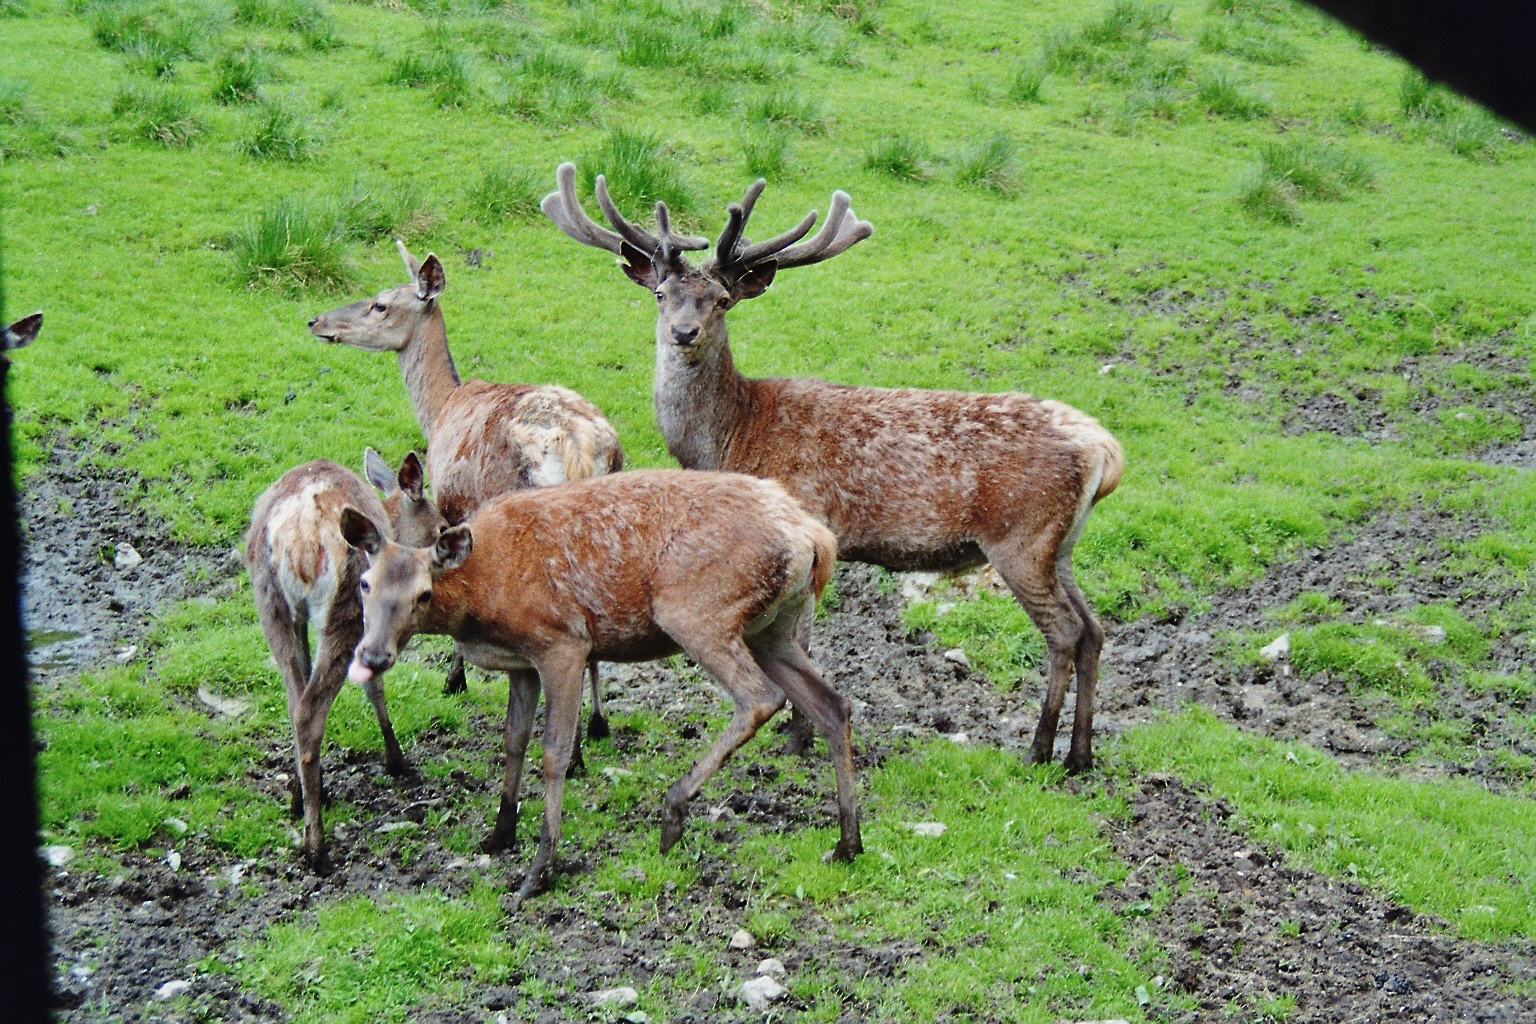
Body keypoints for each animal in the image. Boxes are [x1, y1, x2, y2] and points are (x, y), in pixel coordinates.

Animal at [245, 448, 448, 872]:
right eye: (440, 525)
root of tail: (302, 536)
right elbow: (376, 686)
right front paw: (397, 762)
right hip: (346, 607)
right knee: (311, 710)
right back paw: (317, 849)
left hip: (270, 600)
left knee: (296, 702)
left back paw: (302, 801)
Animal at [308, 241, 620, 767]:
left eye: (379, 304)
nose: (316, 321)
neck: (439, 408)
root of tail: (584, 449)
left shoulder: (456, 507)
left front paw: (454, 678)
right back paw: (595, 726)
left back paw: (574, 748)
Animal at [339, 469, 866, 908]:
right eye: (365, 583)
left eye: (423, 594)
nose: (373, 656)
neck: (482, 598)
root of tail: (815, 538)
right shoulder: (521, 665)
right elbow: (513, 740)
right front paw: (499, 835)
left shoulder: (562, 643)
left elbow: (552, 751)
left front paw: (540, 869)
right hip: (770, 628)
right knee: (833, 703)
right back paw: (847, 842)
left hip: (698, 610)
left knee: (760, 698)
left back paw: (673, 814)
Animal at [546, 166, 1124, 776]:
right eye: (661, 294)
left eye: (721, 300)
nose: (684, 333)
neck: (731, 437)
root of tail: (1105, 450)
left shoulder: (812, 523)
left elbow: (803, 643)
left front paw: (798, 738)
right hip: (1059, 544)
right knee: (1094, 628)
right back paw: (1080, 753)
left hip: (1021, 537)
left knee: (1064, 632)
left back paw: (1040, 748)